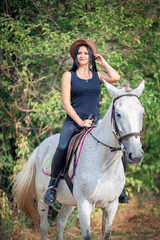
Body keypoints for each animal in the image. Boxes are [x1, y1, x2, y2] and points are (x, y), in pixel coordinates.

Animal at [12, 81, 145, 240]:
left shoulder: (111, 206)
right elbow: (86, 236)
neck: (105, 164)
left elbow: (106, 234)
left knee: (60, 222)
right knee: (44, 226)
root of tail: (40, 147)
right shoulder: (84, 205)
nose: (136, 155)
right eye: (118, 114)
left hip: (69, 201)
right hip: (41, 198)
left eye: (142, 113)